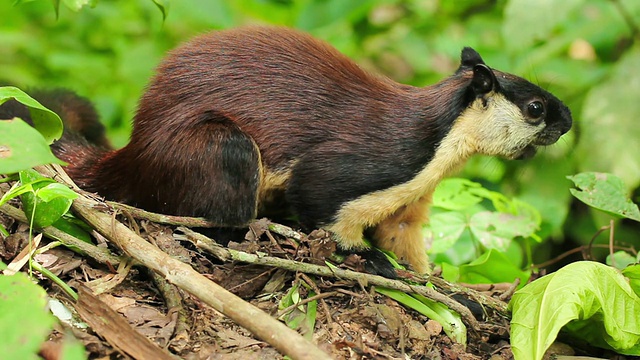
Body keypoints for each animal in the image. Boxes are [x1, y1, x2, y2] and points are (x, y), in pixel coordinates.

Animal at [1, 26, 568, 278]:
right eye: (537, 106)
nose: (567, 122)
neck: (434, 151)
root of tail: (131, 153)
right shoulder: (349, 170)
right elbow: (333, 222)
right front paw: (374, 264)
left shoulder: (407, 212)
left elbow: (411, 254)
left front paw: (448, 288)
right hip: (224, 150)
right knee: (210, 226)